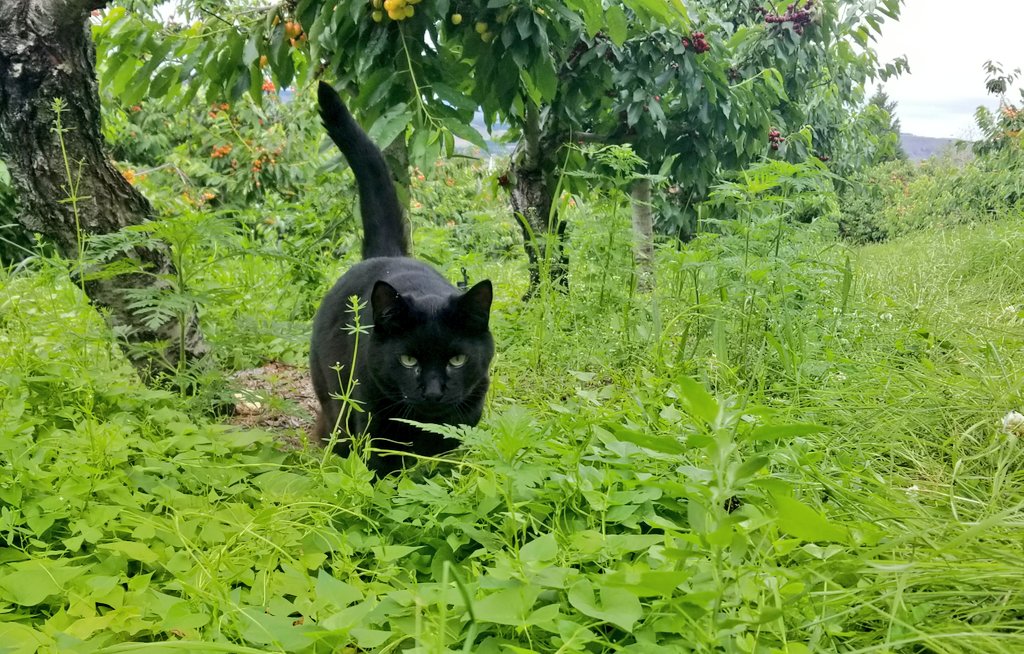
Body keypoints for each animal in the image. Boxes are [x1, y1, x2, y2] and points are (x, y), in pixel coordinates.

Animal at [307, 82, 495, 474]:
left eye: (457, 360)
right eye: (408, 361)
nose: (434, 392)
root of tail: (388, 254)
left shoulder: (467, 416)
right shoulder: (373, 422)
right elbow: (382, 471)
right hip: (333, 395)